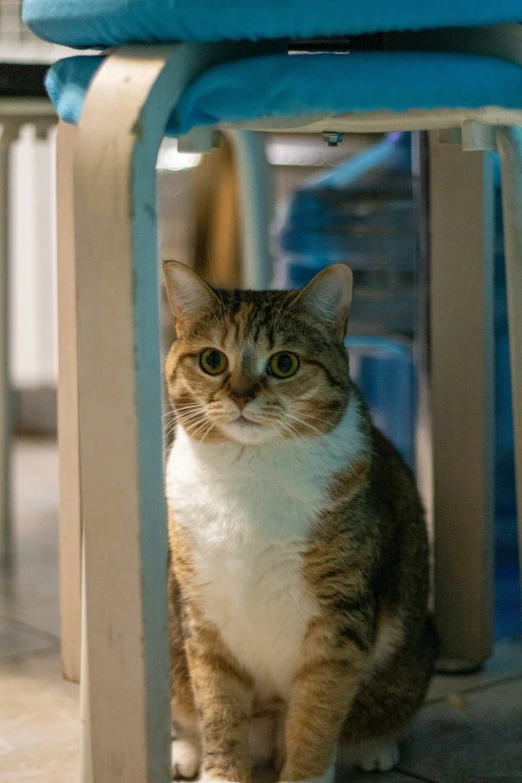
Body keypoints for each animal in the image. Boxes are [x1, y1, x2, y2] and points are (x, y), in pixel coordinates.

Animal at [162, 262, 434, 783]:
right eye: (212, 360)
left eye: (284, 364)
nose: (241, 395)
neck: (250, 471)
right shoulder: (204, 616)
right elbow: (218, 710)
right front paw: (219, 771)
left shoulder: (337, 624)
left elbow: (316, 716)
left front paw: (307, 768)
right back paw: (184, 753)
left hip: (408, 655)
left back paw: (376, 748)